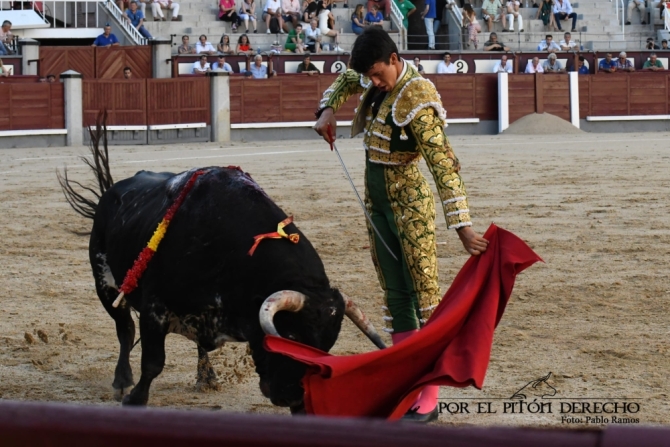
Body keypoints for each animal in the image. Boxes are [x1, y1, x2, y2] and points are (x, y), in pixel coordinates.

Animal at [61, 145, 388, 412]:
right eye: (291, 336)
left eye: (327, 346)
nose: (293, 397)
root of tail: (114, 190)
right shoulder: (155, 310)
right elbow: (153, 362)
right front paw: (135, 399)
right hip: (104, 282)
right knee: (125, 329)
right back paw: (122, 381)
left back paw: (206, 377)